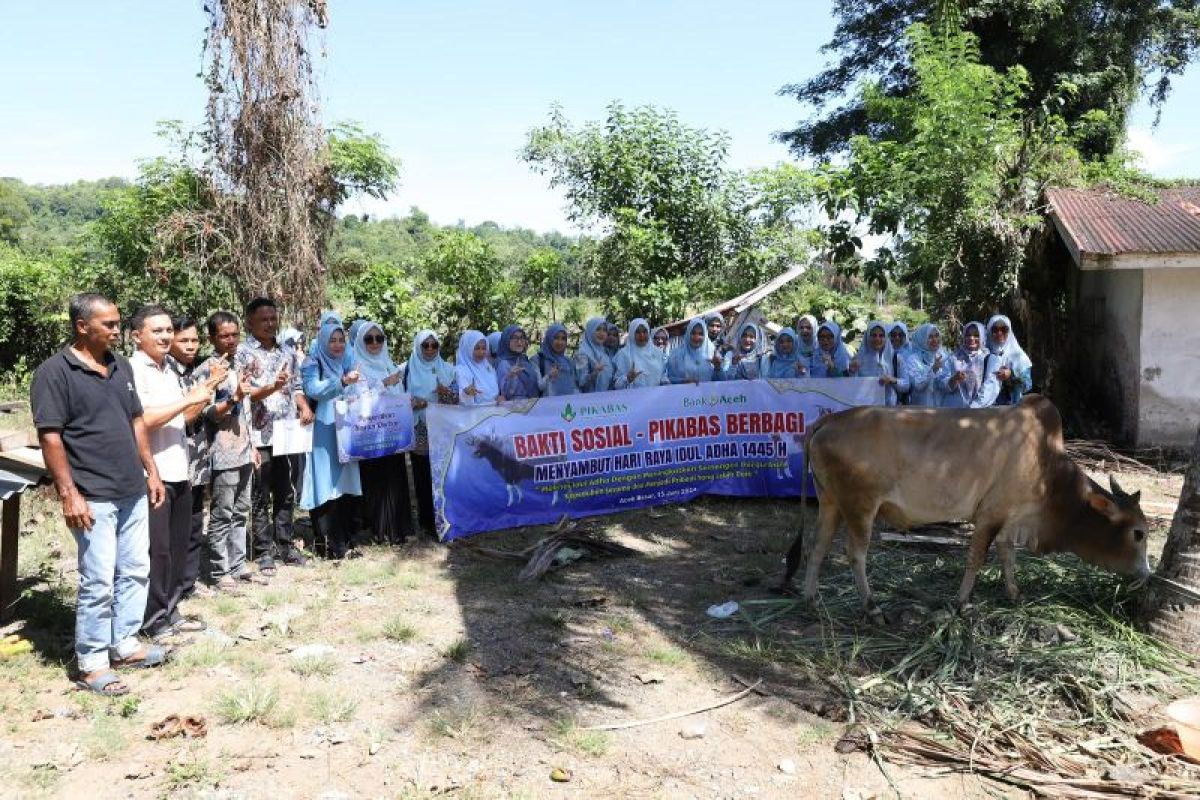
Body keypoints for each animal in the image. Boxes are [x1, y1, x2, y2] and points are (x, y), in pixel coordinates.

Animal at [782, 393, 1147, 614]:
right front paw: (961, 603)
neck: (1048, 465)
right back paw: (872, 607)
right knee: (855, 553)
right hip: (860, 506)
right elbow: (977, 559)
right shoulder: (989, 515)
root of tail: (830, 420)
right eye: (1138, 533)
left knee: (817, 546)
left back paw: (811, 598)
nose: (1144, 574)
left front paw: (1014, 594)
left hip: (831, 502)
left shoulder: (1010, 518)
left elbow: (1007, 556)